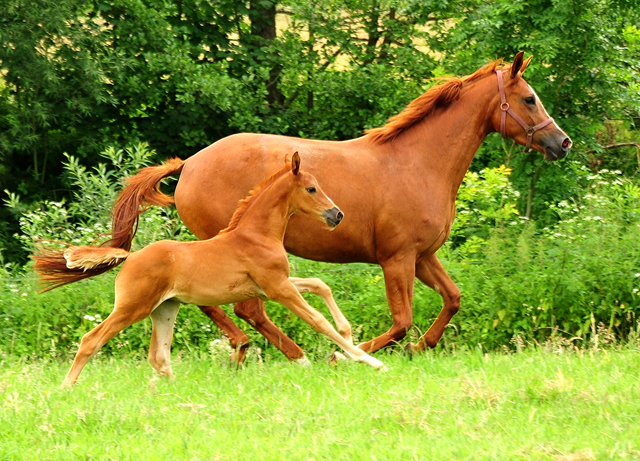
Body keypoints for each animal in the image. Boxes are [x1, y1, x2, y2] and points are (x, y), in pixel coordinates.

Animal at [107, 52, 572, 362]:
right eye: (529, 98)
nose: (562, 143)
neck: (419, 162)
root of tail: (189, 163)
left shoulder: (423, 256)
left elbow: (452, 299)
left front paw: (422, 346)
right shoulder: (397, 259)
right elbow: (401, 321)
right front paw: (347, 353)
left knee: (220, 304)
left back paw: (250, 348)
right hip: (229, 248)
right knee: (244, 307)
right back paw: (287, 353)